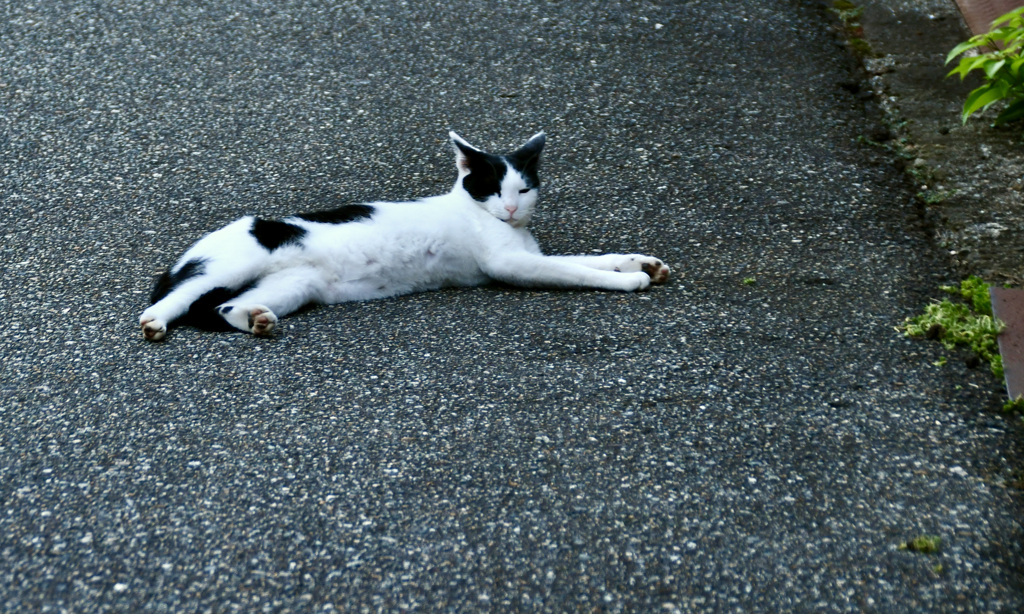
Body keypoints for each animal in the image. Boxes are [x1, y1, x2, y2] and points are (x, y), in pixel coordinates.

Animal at [142, 132, 671, 339]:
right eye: (491, 188)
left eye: (522, 188)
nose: (510, 208)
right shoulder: (510, 264)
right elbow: (574, 270)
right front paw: (628, 280)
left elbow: (589, 257)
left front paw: (640, 262)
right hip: (231, 263)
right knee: (176, 299)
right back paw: (155, 323)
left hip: (294, 285)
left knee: (224, 308)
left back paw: (257, 320)